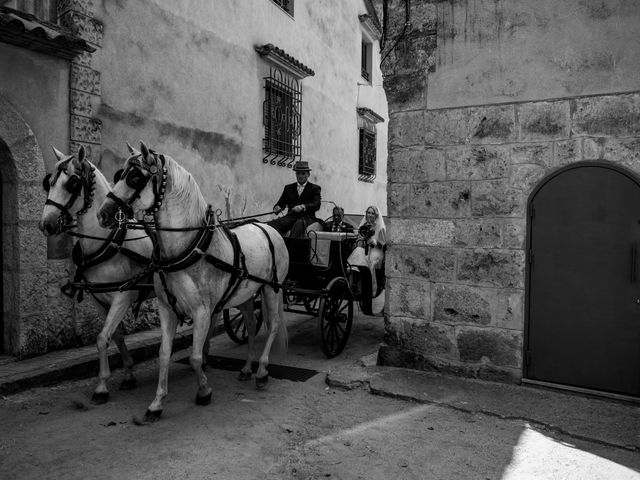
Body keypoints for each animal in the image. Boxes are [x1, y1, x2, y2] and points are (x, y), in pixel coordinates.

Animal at [40, 146, 155, 404]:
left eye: (72, 183)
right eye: (49, 182)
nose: (46, 224)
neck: (108, 242)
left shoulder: (122, 296)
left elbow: (102, 338)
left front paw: (101, 386)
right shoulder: (98, 299)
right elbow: (116, 335)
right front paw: (129, 374)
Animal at [96, 141, 288, 422]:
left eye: (134, 178)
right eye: (119, 175)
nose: (103, 214)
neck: (188, 248)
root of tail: (269, 228)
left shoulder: (202, 311)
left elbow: (196, 357)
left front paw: (204, 391)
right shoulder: (167, 309)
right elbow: (164, 354)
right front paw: (157, 403)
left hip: (271, 288)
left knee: (273, 326)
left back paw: (262, 371)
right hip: (243, 294)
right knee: (252, 327)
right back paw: (246, 368)